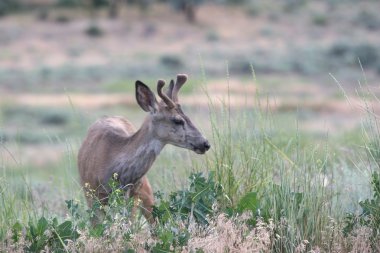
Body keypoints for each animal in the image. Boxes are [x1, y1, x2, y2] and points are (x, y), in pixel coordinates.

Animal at [77, 73, 211, 223]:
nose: (205, 143)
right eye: (177, 120)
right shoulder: (92, 194)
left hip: (145, 188)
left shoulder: (133, 194)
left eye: (187, 117)